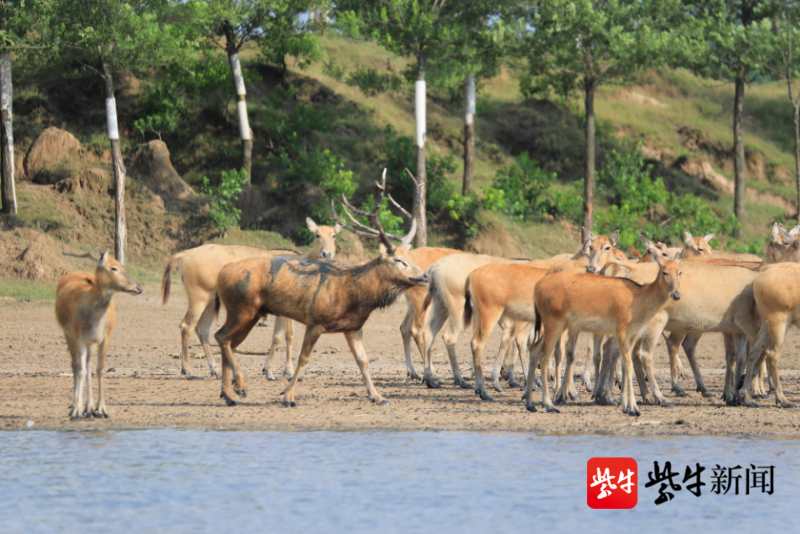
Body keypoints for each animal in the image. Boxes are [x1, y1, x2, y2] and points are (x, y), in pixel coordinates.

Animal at [55, 253, 143, 420]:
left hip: (90, 343)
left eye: (122, 265)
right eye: (113, 267)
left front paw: (101, 409)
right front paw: (76, 410)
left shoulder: (104, 338)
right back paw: (78, 407)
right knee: (76, 365)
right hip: (68, 335)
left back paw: (89, 408)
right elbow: (80, 369)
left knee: (88, 365)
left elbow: (99, 368)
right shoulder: (78, 337)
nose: (138, 288)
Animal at [212, 170, 424, 408]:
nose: (424, 275)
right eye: (399, 260)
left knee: (229, 341)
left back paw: (229, 394)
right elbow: (303, 359)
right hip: (241, 309)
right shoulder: (315, 321)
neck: (355, 296)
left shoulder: (353, 327)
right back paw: (240, 386)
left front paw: (378, 396)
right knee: (221, 337)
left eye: (409, 257)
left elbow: (363, 360)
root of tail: (221, 273)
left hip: (250, 313)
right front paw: (288, 396)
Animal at [524, 247, 680, 418]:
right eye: (664, 271)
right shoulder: (621, 332)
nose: (676, 294)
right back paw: (548, 404)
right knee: (545, 358)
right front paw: (633, 408)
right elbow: (628, 365)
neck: (638, 298)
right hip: (554, 324)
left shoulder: (631, 336)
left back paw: (530, 404)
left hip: (554, 327)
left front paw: (626, 406)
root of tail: (538, 286)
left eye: (680, 272)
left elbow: (625, 365)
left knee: (534, 349)